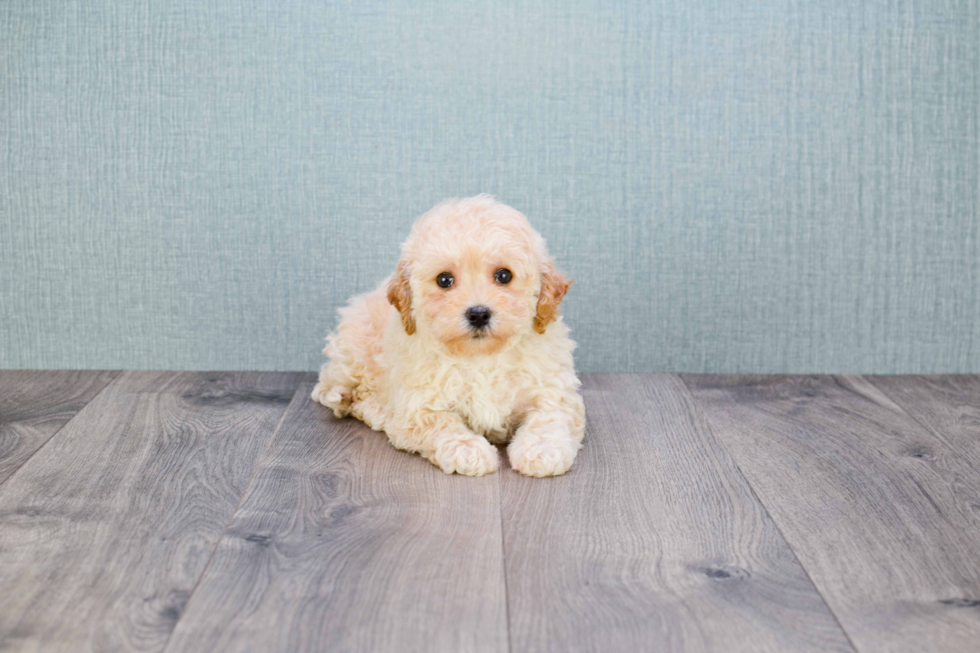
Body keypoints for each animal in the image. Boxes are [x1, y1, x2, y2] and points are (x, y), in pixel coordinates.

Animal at [314, 194, 584, 474]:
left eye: (504, 275)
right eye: (444, 280)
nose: (478, 313)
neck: (481, 357)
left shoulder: (554, 392)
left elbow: (549, 418)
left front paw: (542, 450)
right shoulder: (418, 407)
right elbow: (442, 423)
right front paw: (468, 450)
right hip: (352, 348)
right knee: (337, 388)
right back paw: (361, 403)